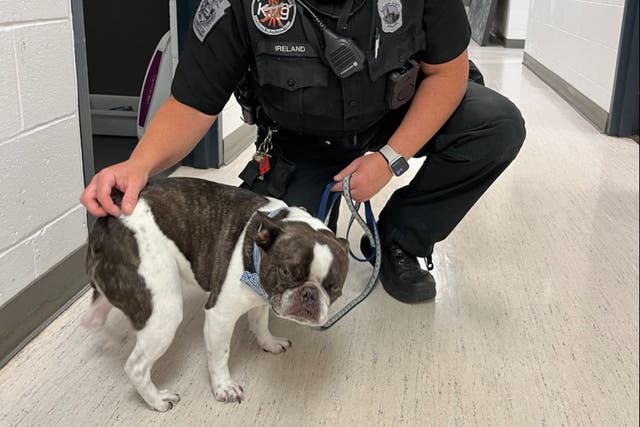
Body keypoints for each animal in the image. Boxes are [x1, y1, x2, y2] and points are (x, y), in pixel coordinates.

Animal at [83, 177, 350, 412]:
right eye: (286, 272)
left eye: (334, 287)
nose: (309, 294)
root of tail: (109, 219)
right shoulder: (220, 316)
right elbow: (220, 354)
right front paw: (224, 387)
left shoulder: (261, 299)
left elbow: (260, 323)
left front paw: (269, 343)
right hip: (164, 312)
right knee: (136, 366)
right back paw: (157, 400)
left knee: (99, 312)